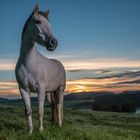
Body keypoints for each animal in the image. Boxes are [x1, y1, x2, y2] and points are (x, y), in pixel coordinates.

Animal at [15, 3, 65, 134]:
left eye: (50, 25)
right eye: (38, 21)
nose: (54, 43)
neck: (28, 63)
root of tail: (59, 63)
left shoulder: (40, 89)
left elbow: (40, 110)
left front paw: (41, 130)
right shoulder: (23, 89)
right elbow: (28, 111)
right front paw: (30, 132)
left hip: (60, 89)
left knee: (59, 105)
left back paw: (59, 125)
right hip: (50, 92)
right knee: (53, 105)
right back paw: (53, 123)